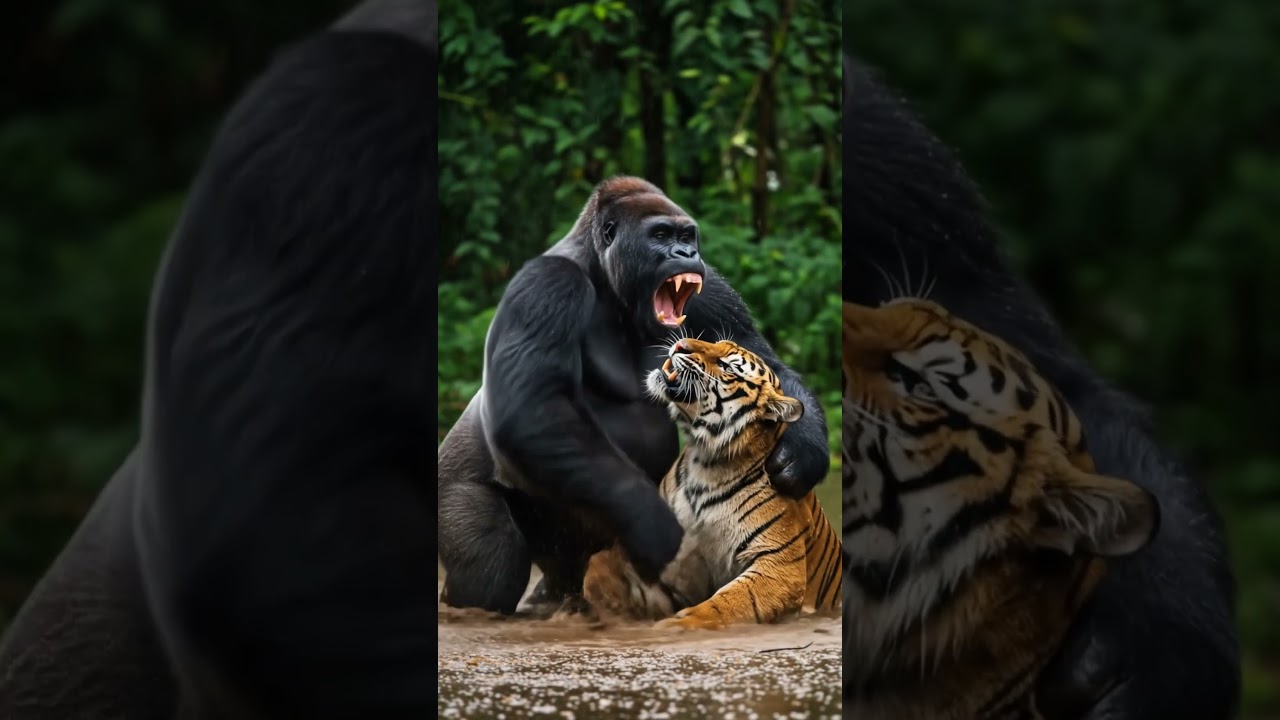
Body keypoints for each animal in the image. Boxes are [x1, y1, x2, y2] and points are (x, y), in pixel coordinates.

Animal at [581, 337, 842, 630]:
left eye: (727, 366)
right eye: (717, 342)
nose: (681, 344)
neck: (706, 463)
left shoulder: (778, 565)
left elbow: (727, 604)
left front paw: (676, 626)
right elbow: (605, 567)